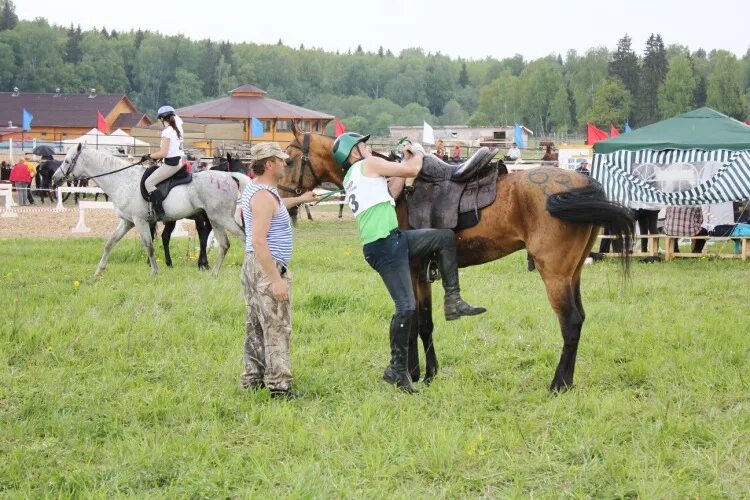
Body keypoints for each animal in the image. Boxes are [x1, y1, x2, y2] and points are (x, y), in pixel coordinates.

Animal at [51, 144, 250, 278]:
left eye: (67, 161)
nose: (55, 178)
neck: (123, 180)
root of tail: (230, 177)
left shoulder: (139, 221)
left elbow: (149, 246)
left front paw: (155, 272)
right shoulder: (127, 221)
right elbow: (110, 243)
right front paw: (99, 271)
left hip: (221, 218)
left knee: (243, 237)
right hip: (215, 219)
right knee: (224, 244)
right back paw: (214, 273)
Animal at [284, 123, 636, 392]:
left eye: (287, 160)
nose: (286, 199)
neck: (396, 192)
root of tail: (583, 181)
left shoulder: (412, 269)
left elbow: (417, 322)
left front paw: (417, 374)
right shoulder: (420, 273)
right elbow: (420, 322)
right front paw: (421, 372)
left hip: (555, 274)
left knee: (570, 322)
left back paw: (558, 384)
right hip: (572, 273)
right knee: (579, 319)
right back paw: (567, 381)